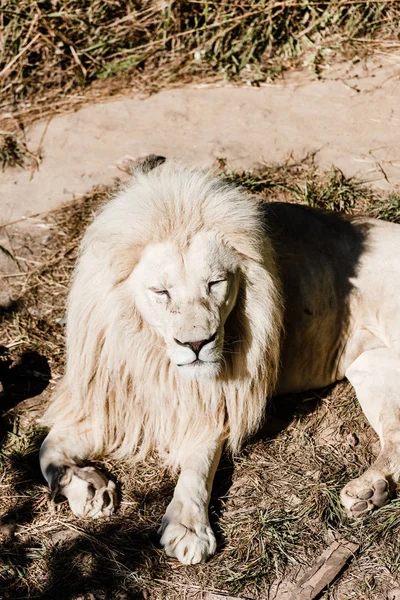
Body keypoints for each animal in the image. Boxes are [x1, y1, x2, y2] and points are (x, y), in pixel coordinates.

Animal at [40, 157, 400, 564]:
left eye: (215, 283)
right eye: (161, 292)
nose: (197, 343)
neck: (153, 357)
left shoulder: (218, 401)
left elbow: (198, 462)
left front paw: (188, 528)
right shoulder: (117, 406)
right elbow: (47, 448)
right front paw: (87, 488)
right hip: (372, 370)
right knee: (396, 436)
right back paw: (372, 490)